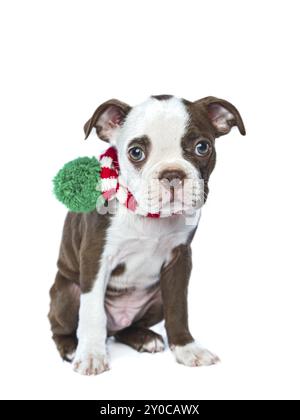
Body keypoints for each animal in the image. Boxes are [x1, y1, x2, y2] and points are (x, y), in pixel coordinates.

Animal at [48, 94, 246, 374]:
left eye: (202, 147)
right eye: (136, 152)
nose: (172, 175)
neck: (151, 219)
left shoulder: (179, 260)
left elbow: (178, 308)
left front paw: (187, 348)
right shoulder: (95, 257)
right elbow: (92, 311)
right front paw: (91, 355)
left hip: (156, 298)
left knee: (126, 329)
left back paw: (144, 338)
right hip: (66, 292)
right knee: (62, 325)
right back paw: (71, 347)